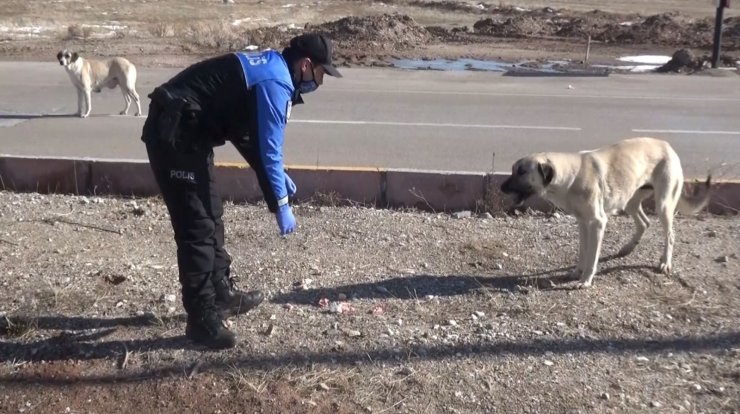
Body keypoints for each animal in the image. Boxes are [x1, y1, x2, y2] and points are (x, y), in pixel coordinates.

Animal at [500, 138, 712, 288]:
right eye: (513, 169)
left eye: (521, 171)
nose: (501, 187)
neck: (571, 176)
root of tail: (667, 145)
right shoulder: (583, 223)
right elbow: (583, 252)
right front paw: (577, 272)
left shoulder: (597, 223)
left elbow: (592, 257)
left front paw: (586, 280)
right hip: (629, 201)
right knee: (644, 222)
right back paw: (628, 248)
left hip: (663, 205)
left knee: (670, 234)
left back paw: (665, 262)